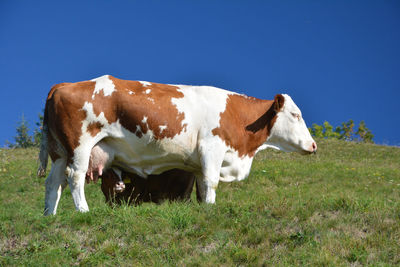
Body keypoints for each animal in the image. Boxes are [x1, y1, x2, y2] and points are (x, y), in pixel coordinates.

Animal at [38, 75, 318, 216]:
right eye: (296, 115)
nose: (314, 145)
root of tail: (64, 84)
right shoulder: (212, 148)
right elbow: (212, 182)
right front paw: (211, 209)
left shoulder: (199, 162)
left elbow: (203, 187)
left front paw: (206, 207)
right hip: (80, 145)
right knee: (74, 177)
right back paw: (83, 211)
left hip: (60, 152)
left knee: (54, 182)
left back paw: (49, 216)